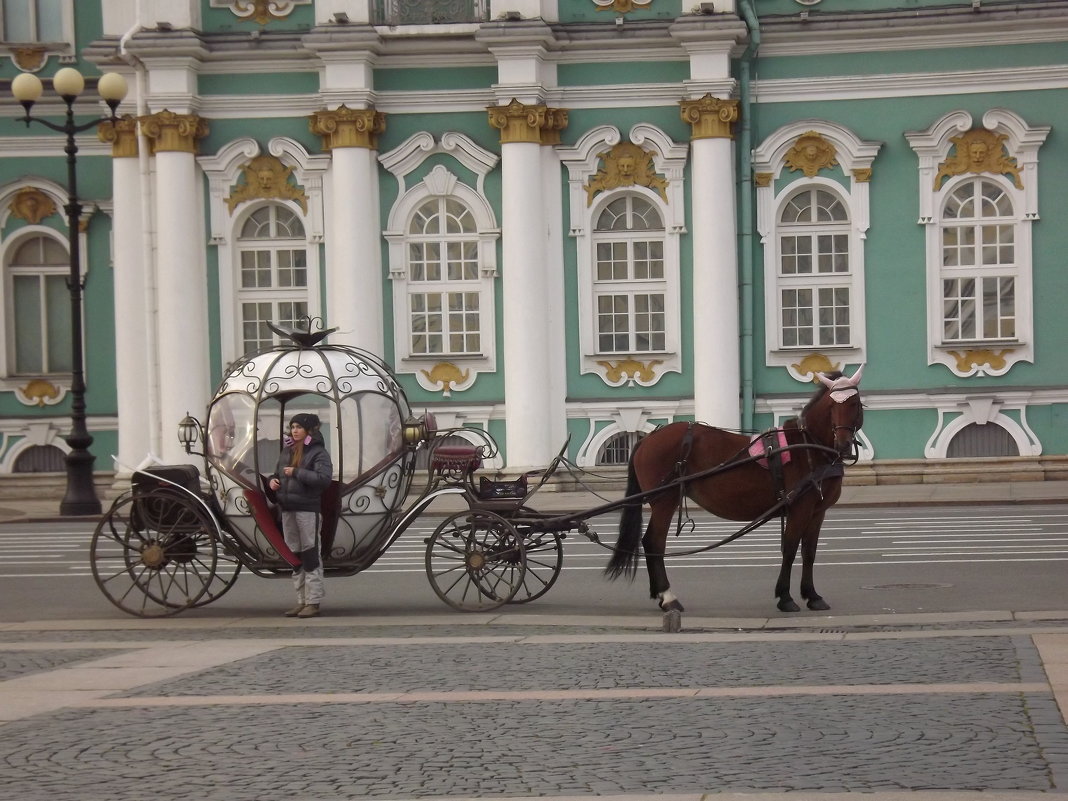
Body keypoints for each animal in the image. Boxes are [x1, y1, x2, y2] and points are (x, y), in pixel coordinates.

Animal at [606, 365, 862, 632]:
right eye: (832, 405)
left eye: (855, 403)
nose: (844, 445)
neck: (809, 446)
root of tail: (647, 438)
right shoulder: (800, 508)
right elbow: (791, 549)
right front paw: (785, 597)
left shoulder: (817, 511)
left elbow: (809, 552)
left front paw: (812, 596)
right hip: (664, 501)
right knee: (654, 542)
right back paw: (668, 597)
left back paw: (659, 594)